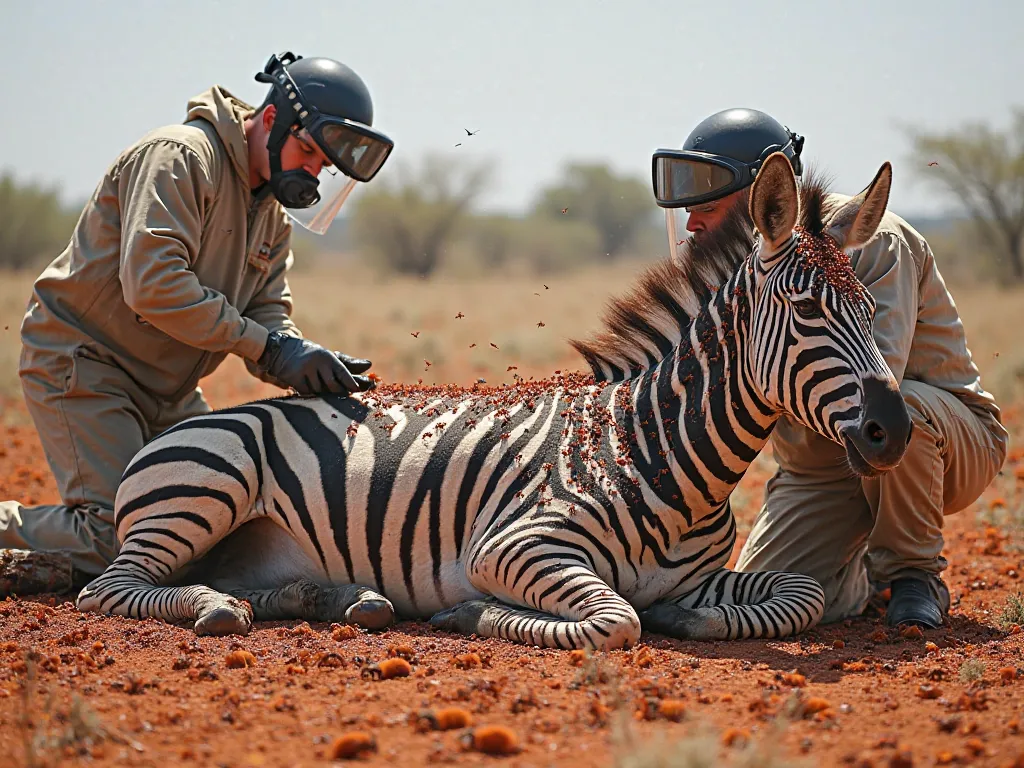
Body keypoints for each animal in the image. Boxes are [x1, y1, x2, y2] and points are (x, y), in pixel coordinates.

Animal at [77, 153, 913, 651]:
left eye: (873, 309)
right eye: (806, 313)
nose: (892, 431)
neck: (658, 449)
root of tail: (193, 420)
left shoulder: (708, 575)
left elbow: (800, 594)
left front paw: (688, 617)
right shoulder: (511, 544)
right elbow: (615, 620)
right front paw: (470, 613)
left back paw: (345, 599)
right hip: (203, 489)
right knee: (109, 589)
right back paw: (217, 606)